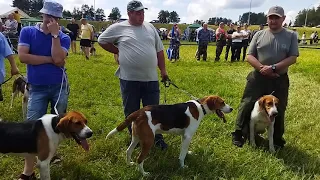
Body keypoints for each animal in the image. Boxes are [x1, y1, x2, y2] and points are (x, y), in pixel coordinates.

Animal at [106, 95, 234, 176]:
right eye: (222, 102)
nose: (232, 108)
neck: (200, 107)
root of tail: (139, 112)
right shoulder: (188, 136)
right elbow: (182, 155)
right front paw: (182, 166)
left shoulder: (184, 136)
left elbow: (184, 150)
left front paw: (187, 153)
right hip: (148, 141)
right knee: (140, 159)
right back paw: (144, 174)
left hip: (136, 138)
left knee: (128, 151)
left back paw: (129, 164)